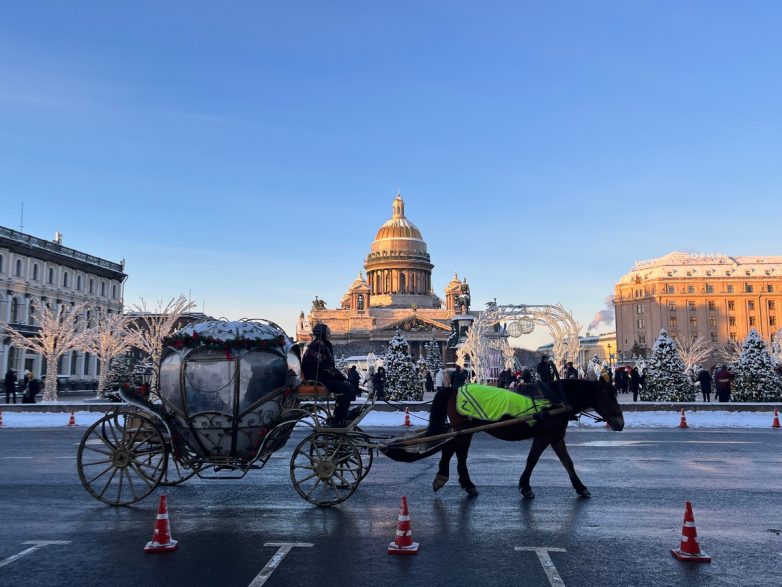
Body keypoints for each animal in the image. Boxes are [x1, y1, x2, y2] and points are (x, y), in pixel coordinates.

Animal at [422, 378, 624, 498]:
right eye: (609, 398)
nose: (620, 423)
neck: (556, 401)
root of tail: (453, 389)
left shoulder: (556, 438)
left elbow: (568, 463)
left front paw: (580, 487)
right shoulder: (543, 437)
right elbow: (532, 460)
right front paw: (525, 486)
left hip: (466, 431)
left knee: (458, 453)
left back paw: (463, 482)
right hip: (464, 429)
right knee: (453, 450)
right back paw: (446, 478)